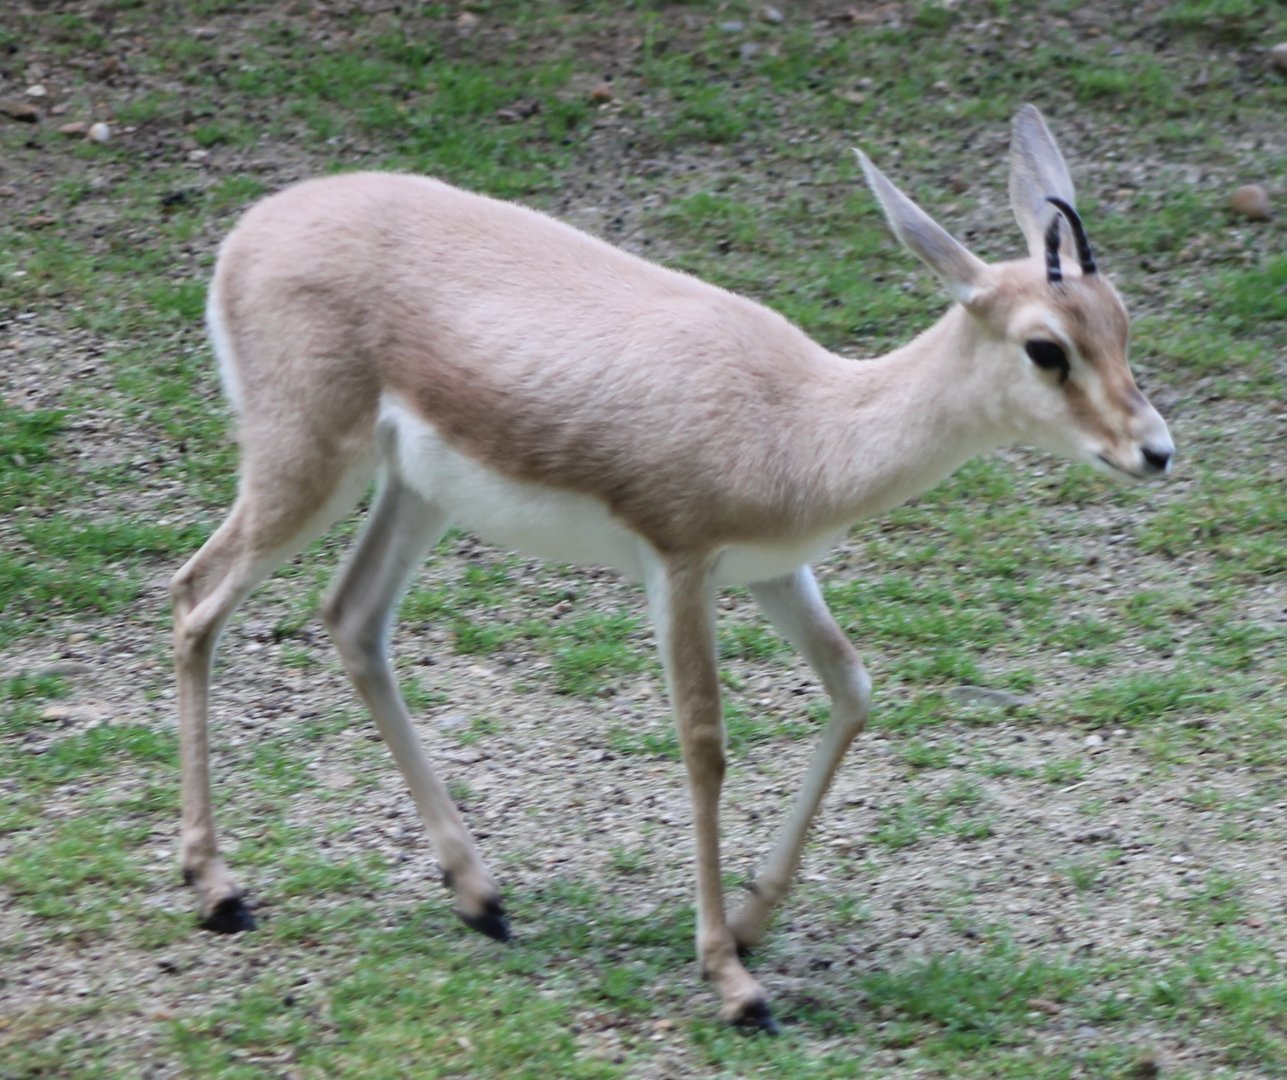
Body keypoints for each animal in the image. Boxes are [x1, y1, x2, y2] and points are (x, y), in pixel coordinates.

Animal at [171, 105, 1173, 1032]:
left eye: (1123, 322)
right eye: (1045, 347)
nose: (1154, 451)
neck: (801, 422)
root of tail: (253, 228)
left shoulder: (773, 571)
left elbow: (853, 687)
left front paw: (751, 923)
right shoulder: (680, 565)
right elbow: (704, 744)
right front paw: (732, 981)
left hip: (415, 494)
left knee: (352, 619)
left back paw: (480, 899)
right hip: (307, 469)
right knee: (195, 596)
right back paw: (219, 891)